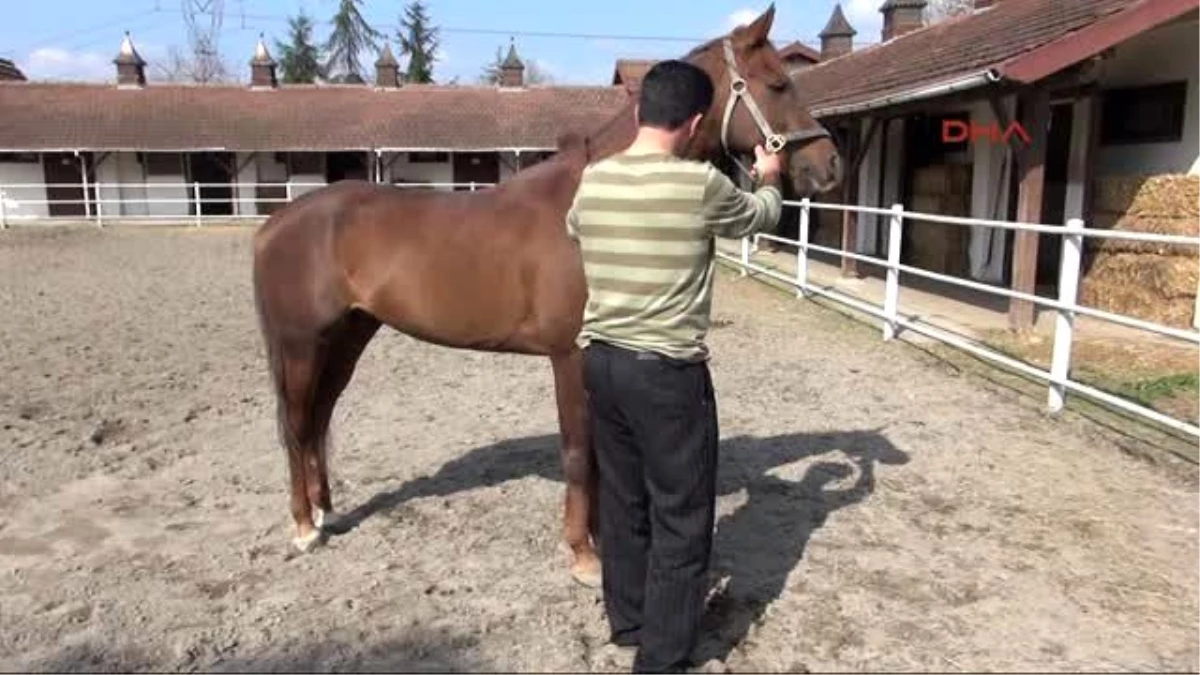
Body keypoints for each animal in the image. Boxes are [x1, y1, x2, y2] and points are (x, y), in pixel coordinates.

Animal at [248, 3, 840, 583]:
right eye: (780, 84)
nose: (829, 165)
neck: (586, 205)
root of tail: (275, 224)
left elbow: (598, 457)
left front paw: (598, 541)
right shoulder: (569, 356)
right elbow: (579, 453)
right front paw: (583, 556)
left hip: (349, 336)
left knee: (319, 417)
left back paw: (326, 509)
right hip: (302, 344)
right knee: (298, 424)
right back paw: (305, 527)